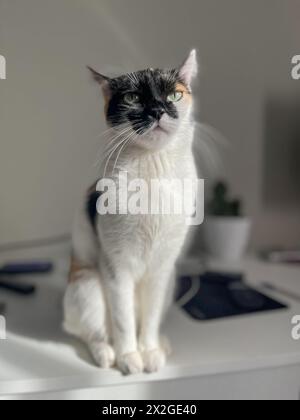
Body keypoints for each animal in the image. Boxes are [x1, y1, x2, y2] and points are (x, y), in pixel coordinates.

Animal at [63, 50, 199, 376]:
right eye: (134, 97)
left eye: (174, 95)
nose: (158, 110)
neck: (152, 170)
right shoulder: (116, 266)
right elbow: (123, 319)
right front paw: (129, 357)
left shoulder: (162, 268)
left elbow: (149, 319)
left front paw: (149, 351)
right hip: (86, 285)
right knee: (92, 332)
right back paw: (107, 353)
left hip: (171, 282)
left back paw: (161, 344)